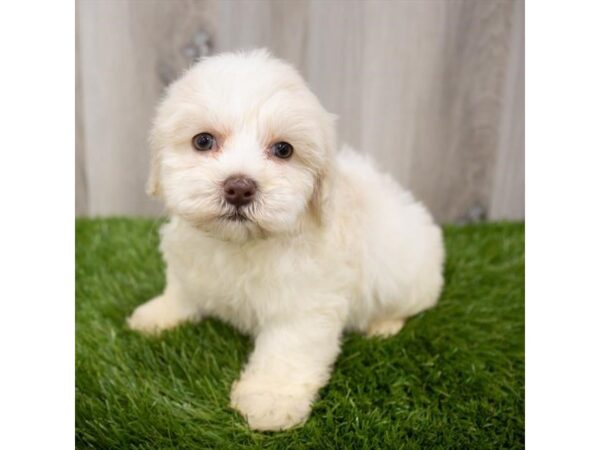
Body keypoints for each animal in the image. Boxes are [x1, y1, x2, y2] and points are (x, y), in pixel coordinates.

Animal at [127, 49, 446, 432]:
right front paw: (158, 314)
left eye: (283, 150)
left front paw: (270, 400)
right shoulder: (192, 262)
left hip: (408, 280)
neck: (240, 244)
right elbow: (182, 290)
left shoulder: (304, 306)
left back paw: (383, 325)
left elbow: (286, 352)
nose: (239, 187)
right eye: (203, 141)